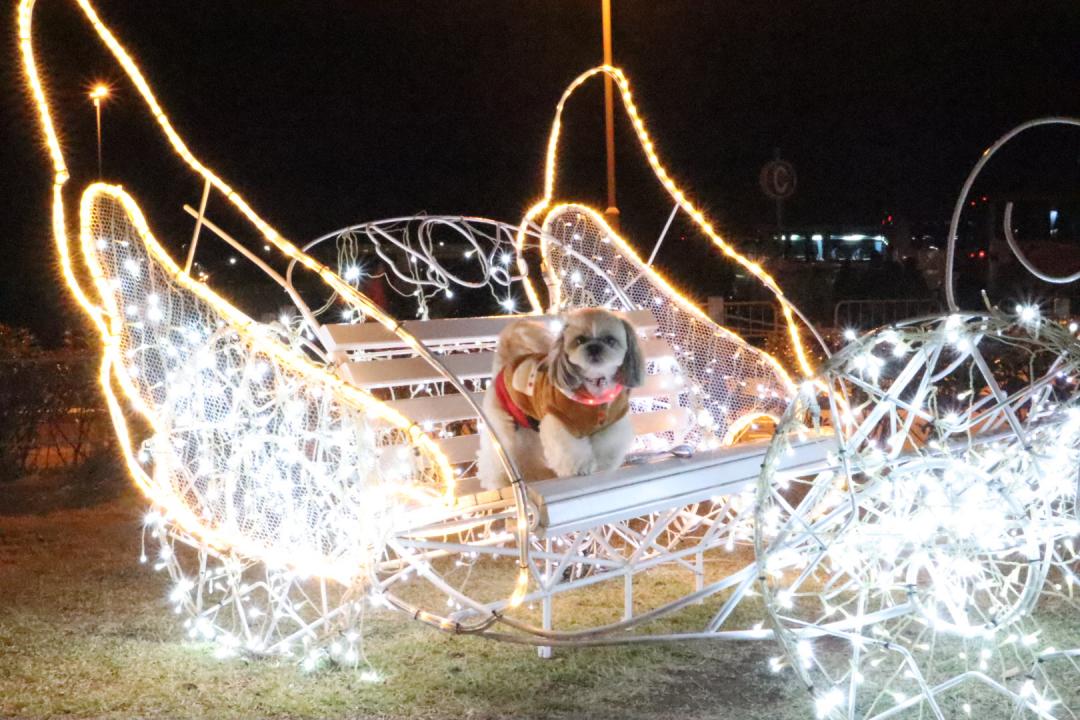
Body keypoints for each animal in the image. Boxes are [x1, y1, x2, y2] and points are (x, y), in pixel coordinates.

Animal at [479, 304, 639, 490]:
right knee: (497, 453)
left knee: (526, 453)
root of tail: (505, 366)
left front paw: (603, 465)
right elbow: (570, 449)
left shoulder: (612, 423)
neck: (594, 388)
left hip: (529, 427)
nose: (594, 347)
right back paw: (498, 481)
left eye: (610, 340)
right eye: (580, 340)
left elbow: (608, 446)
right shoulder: (561, 421)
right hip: (503, 425)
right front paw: (580, 468)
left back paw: (534, 474)